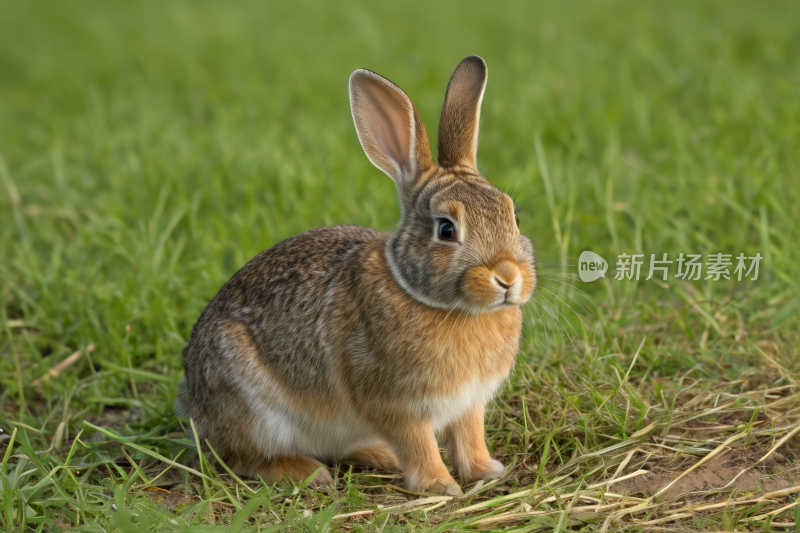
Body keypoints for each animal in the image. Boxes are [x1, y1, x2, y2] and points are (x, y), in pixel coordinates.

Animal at [176, 55, 536, 494]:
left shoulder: (468, 404)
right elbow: (418, 444)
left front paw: (486, 470)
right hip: (253, 407)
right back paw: (309, 473)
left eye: (513, 216)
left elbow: (469, 436)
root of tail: (193, 403)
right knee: (240, 457)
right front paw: (439, 485)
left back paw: (379, 456)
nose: (508, 276)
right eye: (446, 230)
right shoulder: (396, 404)